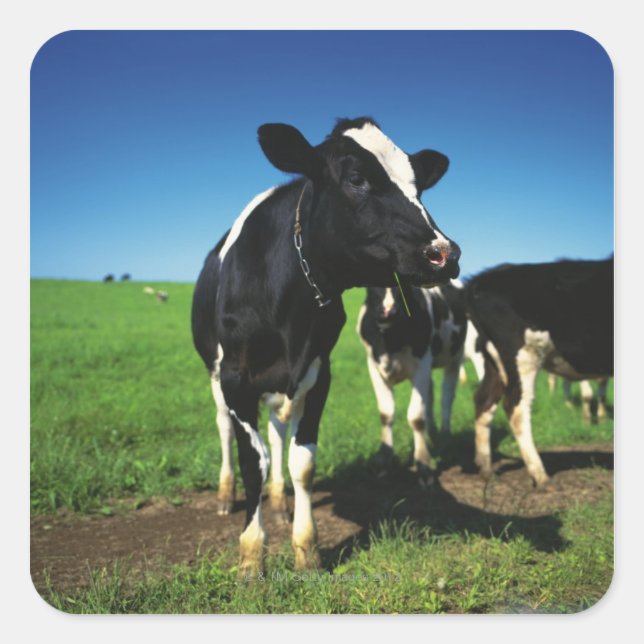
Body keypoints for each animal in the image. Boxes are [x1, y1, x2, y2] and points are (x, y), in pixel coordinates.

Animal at [356, 281, 467, 486]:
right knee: (430, 394)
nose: (388, 311)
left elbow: (416, 417)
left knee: (447, 396)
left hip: (456, 356)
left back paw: (445, 435)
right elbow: (386, 413)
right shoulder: (373, 365)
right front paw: (384, 461)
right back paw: (433, 433)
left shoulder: (422, 362)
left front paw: (423, 465)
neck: (390, 342)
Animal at [464, 258, 613, 488]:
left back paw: (485, 469)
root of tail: (483, 279)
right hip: (523, 355)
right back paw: (540, 475)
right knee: (516, 407)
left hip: (494, 361)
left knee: (483, 399)